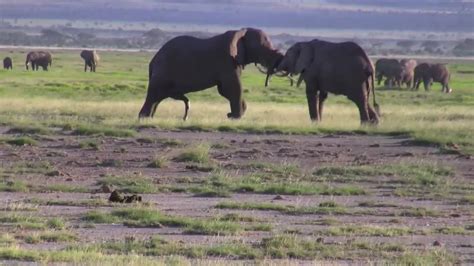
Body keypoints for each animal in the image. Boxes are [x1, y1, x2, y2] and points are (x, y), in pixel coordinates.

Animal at [139, 27, 284, 120]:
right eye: (263, 48)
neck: (241, 31)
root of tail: (153, 61)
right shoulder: (226, 61)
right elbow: (232, 87)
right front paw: (235, 117)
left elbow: (224, 90)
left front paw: (233, 115)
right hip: (162, 73)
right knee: (153, 96)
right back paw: (144, 118)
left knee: (157, 98)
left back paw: (151, 118)